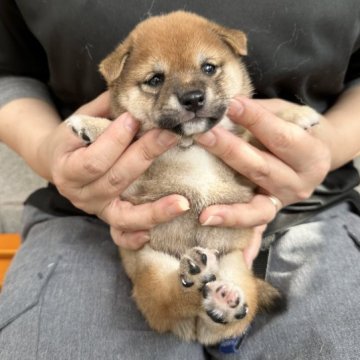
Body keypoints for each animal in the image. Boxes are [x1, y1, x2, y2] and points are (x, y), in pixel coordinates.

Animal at [67, 9, 318, 344]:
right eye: (155, 79)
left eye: (208, 67)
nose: (193, 98)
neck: (193, 145)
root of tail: (194, 328)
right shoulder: (137, 185)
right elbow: (128, 139)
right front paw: (93, 126)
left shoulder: (246, 172)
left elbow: (257, 138)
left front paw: (294, 115)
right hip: (151, 267)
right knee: (171, 299)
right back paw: (197, 278)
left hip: (235, 267)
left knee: (230, 320)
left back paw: (223, 300)